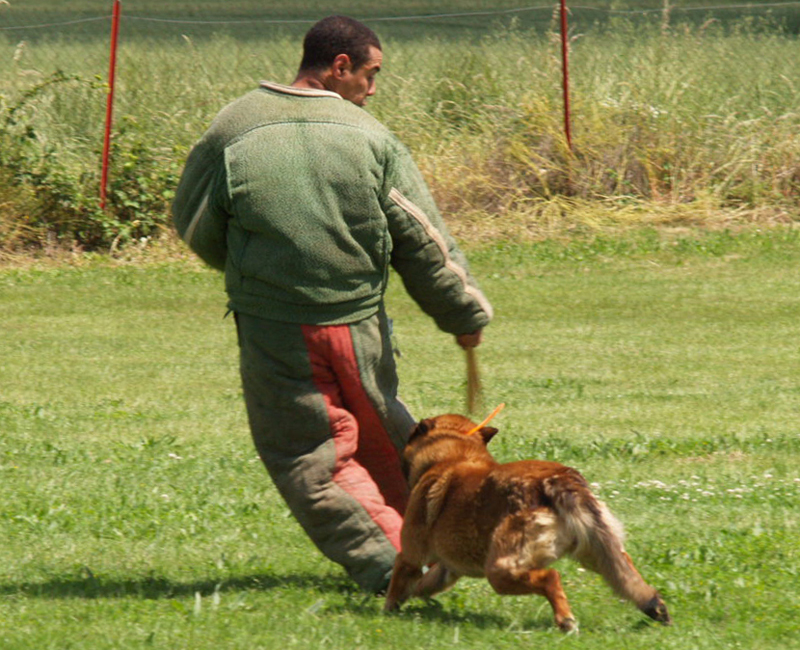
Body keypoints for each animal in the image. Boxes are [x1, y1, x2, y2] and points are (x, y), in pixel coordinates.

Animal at [384, 412, 672, 632]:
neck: (455, 455)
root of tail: (559, 478)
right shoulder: (447, 569)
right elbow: (423, 585)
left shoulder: (410, 556)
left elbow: (397, 582)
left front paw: (387, 612)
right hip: (597, 551)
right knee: (628, 573)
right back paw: (654, 606)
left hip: (499, 570)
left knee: (551, 577)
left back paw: (566, 621)